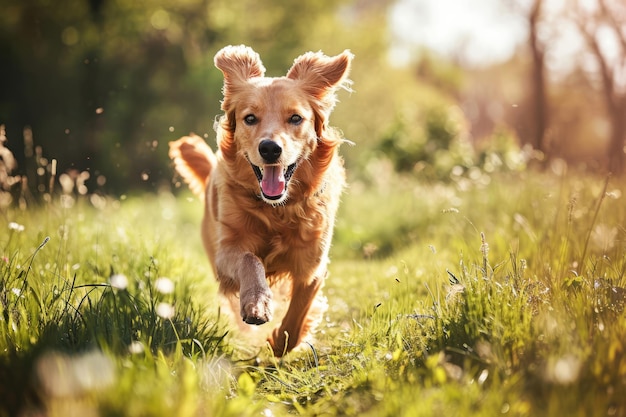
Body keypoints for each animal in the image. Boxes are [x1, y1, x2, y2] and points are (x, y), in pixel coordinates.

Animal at [168, 44, 354, 354]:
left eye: (296, 118)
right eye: (250, 118)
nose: (269, 148)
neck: (277, 210)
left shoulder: (312, 264)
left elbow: (299, 312)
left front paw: (279, 342)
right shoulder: (225, 255)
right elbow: (249, 260)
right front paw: (256, 303)